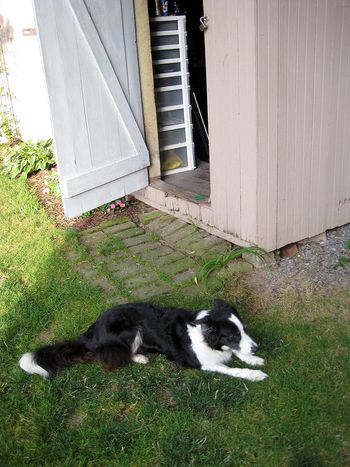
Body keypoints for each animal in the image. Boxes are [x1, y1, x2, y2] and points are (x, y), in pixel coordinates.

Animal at [19, 302, 268, 382]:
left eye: (244, 330)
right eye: (233, 335)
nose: (258, 346)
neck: (206, 335)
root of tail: (92, 330)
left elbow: (238, 354)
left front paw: (254, 359)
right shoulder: (204, 364)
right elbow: (233, 369)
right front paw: (254, 374)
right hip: (130, 328)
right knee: (109, 359)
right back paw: (139, 357)